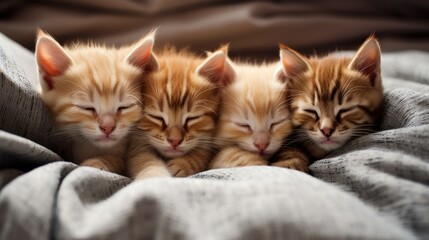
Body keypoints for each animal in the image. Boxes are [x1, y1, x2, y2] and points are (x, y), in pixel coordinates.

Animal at [126, 47, 231, 179]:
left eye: (193, 118)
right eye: (156, 117)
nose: (174, 141)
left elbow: (201, 153)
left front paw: (182, 164)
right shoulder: (136, 142)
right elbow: (143, 160)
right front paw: (155, 176)